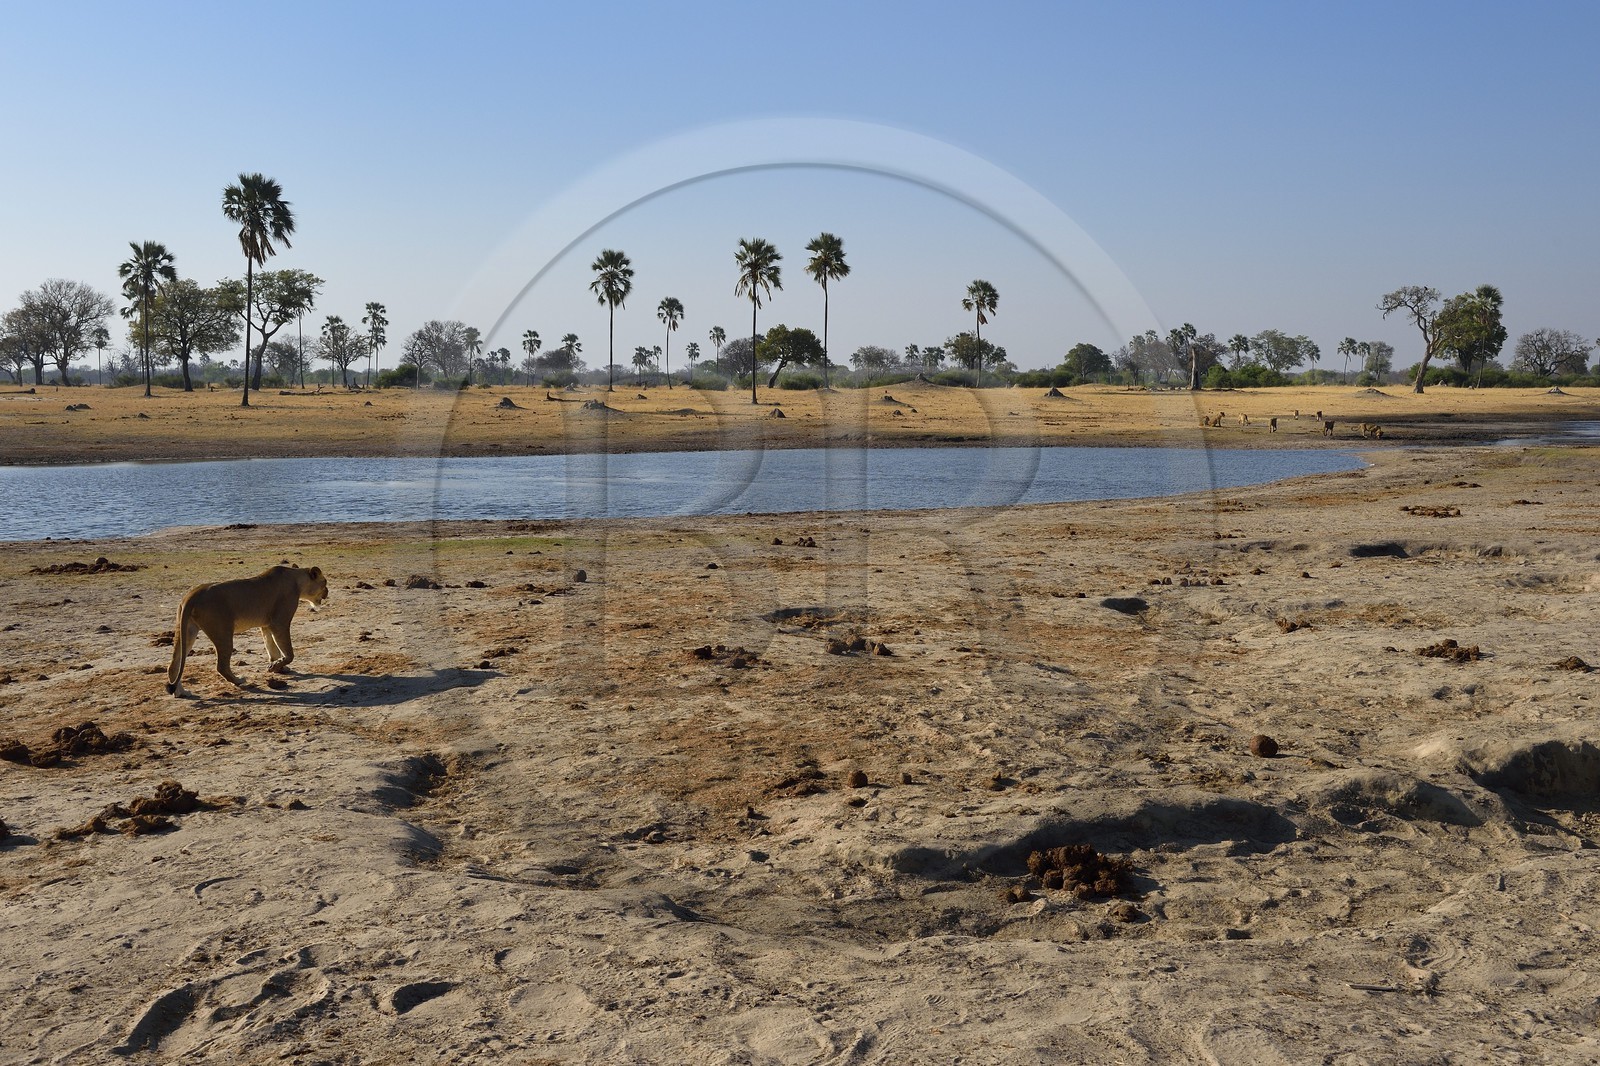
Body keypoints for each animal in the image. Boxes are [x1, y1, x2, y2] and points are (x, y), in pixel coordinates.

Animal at [166, 565, 328, 696]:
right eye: (325, 582)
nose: (328, 592)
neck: (297, 580)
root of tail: (192, 595)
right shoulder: (279, 623)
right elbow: (289, 653)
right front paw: (275, 667)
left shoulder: (266, 625)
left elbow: (271, 647)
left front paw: (278, 667)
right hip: (222, 632)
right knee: (221, 666)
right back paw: (239, 681)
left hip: (187, 631)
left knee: (174, 665)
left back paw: (181, 693)